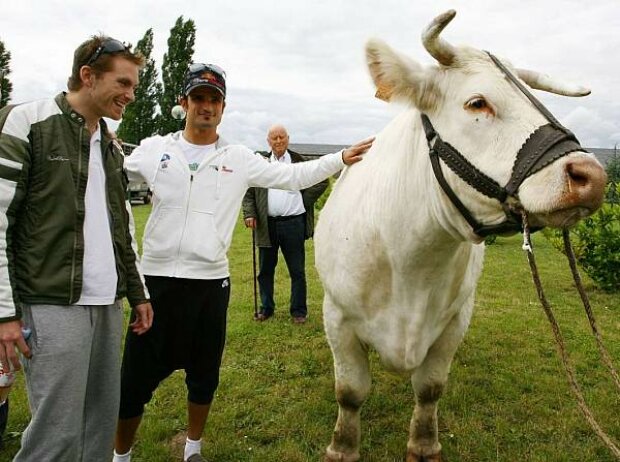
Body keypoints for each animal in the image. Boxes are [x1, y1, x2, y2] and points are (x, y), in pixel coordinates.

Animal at [314, 8, 604, 462]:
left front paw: (424, 446)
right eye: (477, 102)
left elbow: (430, 388)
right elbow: (350, 392)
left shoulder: (454, 320)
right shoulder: (339, 318)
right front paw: (342, 447)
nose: (591, 177)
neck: (411, 259)